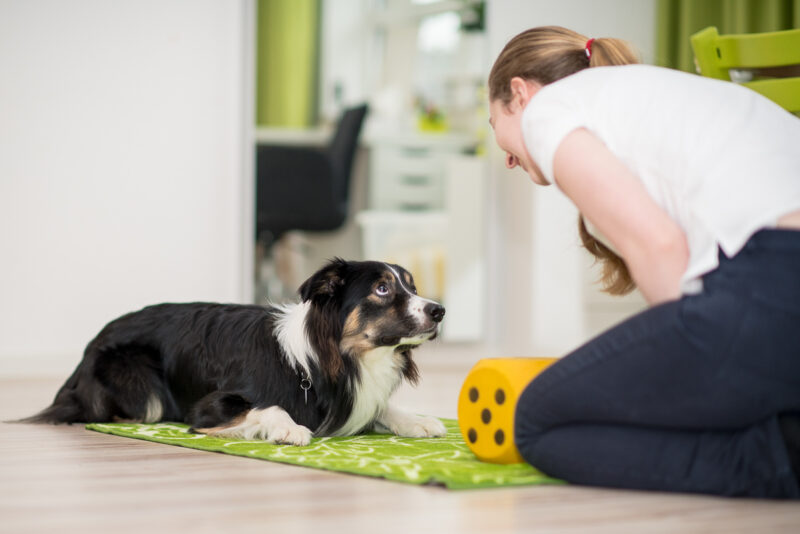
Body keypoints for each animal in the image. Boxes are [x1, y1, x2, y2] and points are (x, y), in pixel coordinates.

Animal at [20, 260, 444, 448]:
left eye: (411, 286)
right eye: (382, 289)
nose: (439, 310)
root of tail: (89, 348)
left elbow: (382, 406)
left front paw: (417, 421)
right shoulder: (208, 406)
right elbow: (269, 406)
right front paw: (289, 427)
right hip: (141, 384)